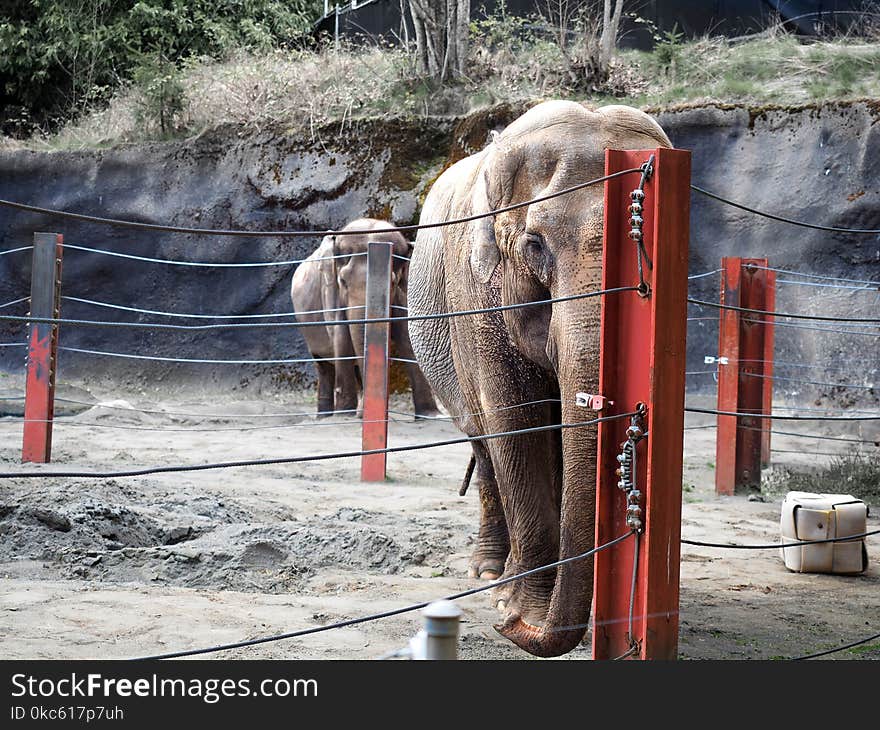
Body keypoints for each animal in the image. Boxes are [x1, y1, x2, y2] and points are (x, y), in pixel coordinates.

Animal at [290, 216, 438, 418]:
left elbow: (406, 336)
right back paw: (326, 417)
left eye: (391, 283)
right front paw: (344, 415)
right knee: (324, 366)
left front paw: (430, 415)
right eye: (343, 281)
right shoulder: (330, 290)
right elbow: (341, 335)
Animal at [410, 101, 672, 656]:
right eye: (534, 245)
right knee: (484, 444)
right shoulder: (476, 294)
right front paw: (518, 609)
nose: (507, 626)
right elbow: (517, 421)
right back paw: (490, 574)